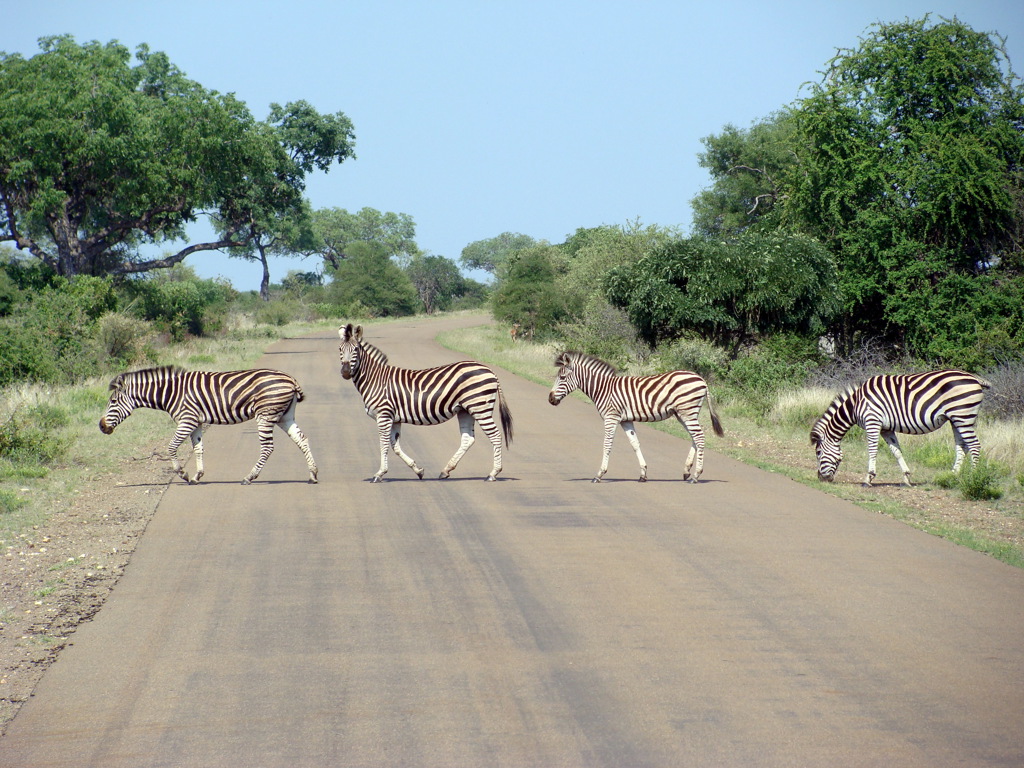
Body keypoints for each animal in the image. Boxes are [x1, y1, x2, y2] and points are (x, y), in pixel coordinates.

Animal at [99, 366, 319, 485]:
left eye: (113, 402)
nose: (101, 427)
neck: (171, 392)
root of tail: (290, 379)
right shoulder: (195, 422)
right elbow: (198, 448)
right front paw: (197, 476)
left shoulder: (186, 420)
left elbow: (171, 447)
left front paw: (183, 474)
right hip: (284, 416)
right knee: (302, 439)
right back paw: (313, 474)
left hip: (266, 414)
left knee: (268, 447)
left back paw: (249, 477)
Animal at [338, 324, 513, 482]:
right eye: (340, 350)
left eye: (355, 350)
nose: (345, 372)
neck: (375, 379)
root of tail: (490, 370)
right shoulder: (394, 418)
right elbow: (395, 446)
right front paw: (418, 470)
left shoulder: (384, 415)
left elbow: (384, 444)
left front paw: (379, 474)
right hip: (465, 410)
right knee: (467, 439)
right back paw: (446, 471)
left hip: (480, 407)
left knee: (496, 435)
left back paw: (493, 473)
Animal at [548, 351, 724, 483]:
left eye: (562, 378)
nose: (550, 399)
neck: (603, 389)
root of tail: (701, 379)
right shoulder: (626, 420)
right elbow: (635, 444)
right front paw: (643, 474)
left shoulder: (611, 418)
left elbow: (607, 445)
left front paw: (599, 474)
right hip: (683, 413)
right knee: (695, 437)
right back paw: (687, 471)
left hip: (687, 411)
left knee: (699, 437)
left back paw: (696, 475)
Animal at [810, 370, 990, 486]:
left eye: (818, 452)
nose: (820, 478)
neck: (855, 404)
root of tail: (974, 378)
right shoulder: (886, 428)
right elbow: (896, 451)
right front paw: (907, 478)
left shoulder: (872, 422)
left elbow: (872, 450)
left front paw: (868, 478)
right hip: (956, 419)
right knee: (962, 447)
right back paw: (952, 476)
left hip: (962, 416)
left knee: (974, 446)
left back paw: (972, 479)